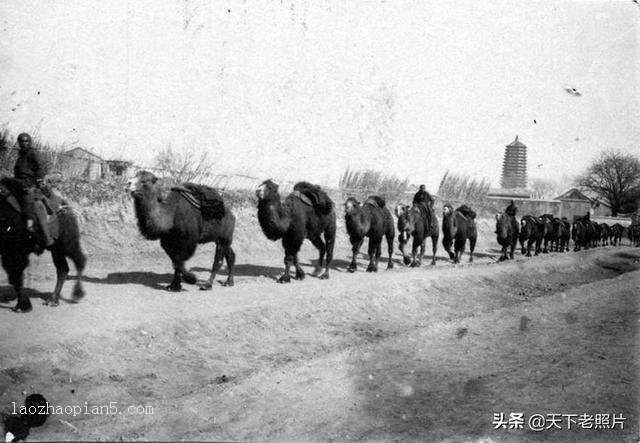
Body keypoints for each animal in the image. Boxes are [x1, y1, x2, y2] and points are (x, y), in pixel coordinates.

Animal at [0, 177, 85, 312]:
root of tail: (66, 207)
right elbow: (14, 277)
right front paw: (22, 305)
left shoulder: (14, 251)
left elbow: (16, 276)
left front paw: (23, 306)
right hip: (56, 249)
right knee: (63, 269)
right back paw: (53, 300)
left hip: (67, 244)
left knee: (79, 260)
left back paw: (76, 294)